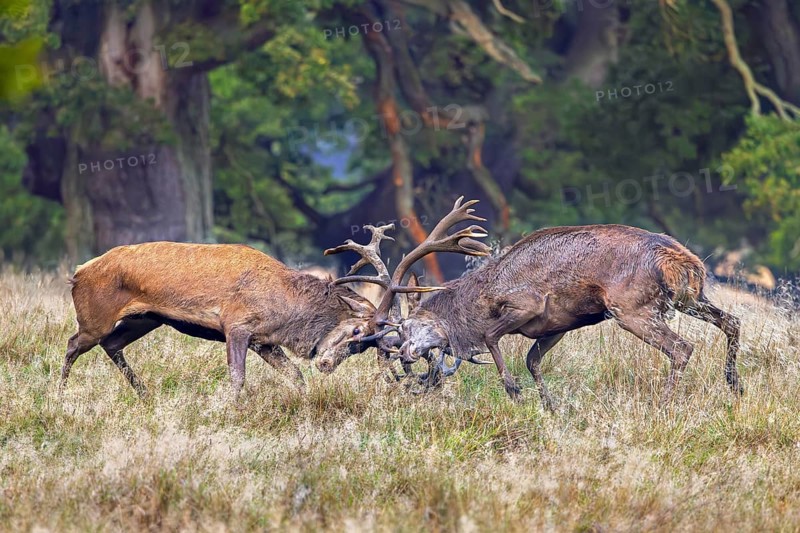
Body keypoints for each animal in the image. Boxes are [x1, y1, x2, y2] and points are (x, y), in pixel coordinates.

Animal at [61, 240, 431, 399]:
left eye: (362, 348)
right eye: (356, 330)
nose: (326, 364)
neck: (285, 309)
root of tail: (77, 273)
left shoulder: (263, 342)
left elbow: (295, 375)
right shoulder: (237, 325)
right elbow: (237, 378)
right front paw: (230, 408)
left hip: (147, 318)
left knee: (112, 343)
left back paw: (145, 394)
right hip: (94, 316)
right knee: (73, 343)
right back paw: (60, 395)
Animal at [393, 224, 743, 409]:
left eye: (406, 325)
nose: (404, 354)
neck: (481, 300)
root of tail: (687, 264)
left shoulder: (527, 303)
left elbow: (492, 337)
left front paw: (514, 391)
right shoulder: (556, 325)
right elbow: (532, 360)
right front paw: (549, 407)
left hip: (631, 308)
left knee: (681, 347)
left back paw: (662, 405)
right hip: (691, 299)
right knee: (732, 321)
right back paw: (735, 385)